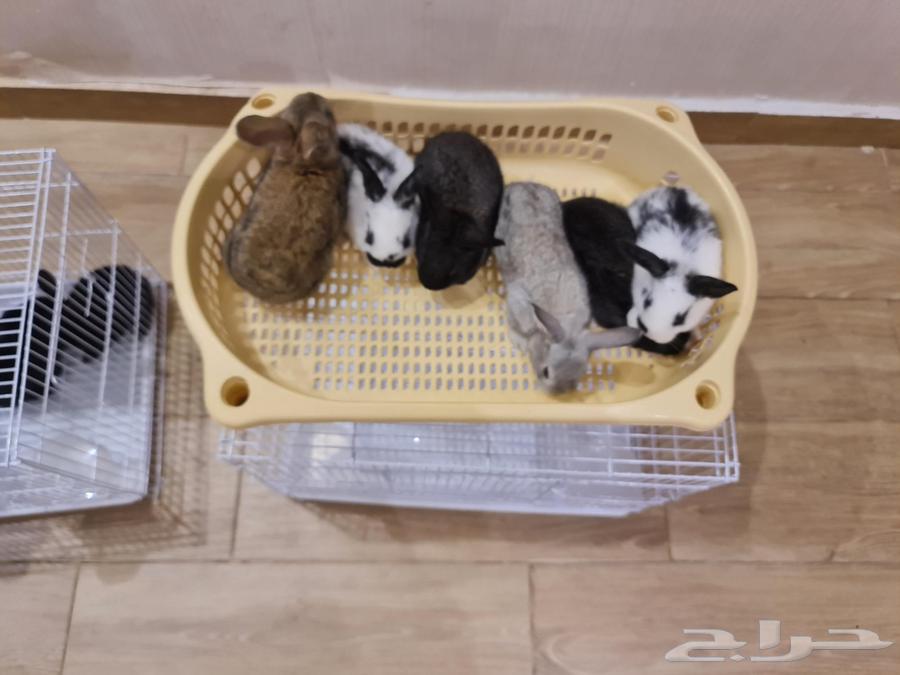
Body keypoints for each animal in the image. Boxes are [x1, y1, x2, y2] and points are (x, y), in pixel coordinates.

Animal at [495, 182, 640, 394]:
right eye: (546, 372)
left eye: (581, 374)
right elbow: (518, 326)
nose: (559, 394)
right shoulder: (517, 301)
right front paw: (520, 342)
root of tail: (523, 184)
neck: (564, 318)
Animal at [623, 186, 738, 347]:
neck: (682, 266)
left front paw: (697, 336)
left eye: (681, 319)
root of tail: (676, 189)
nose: (652, 335)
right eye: (646, 301)